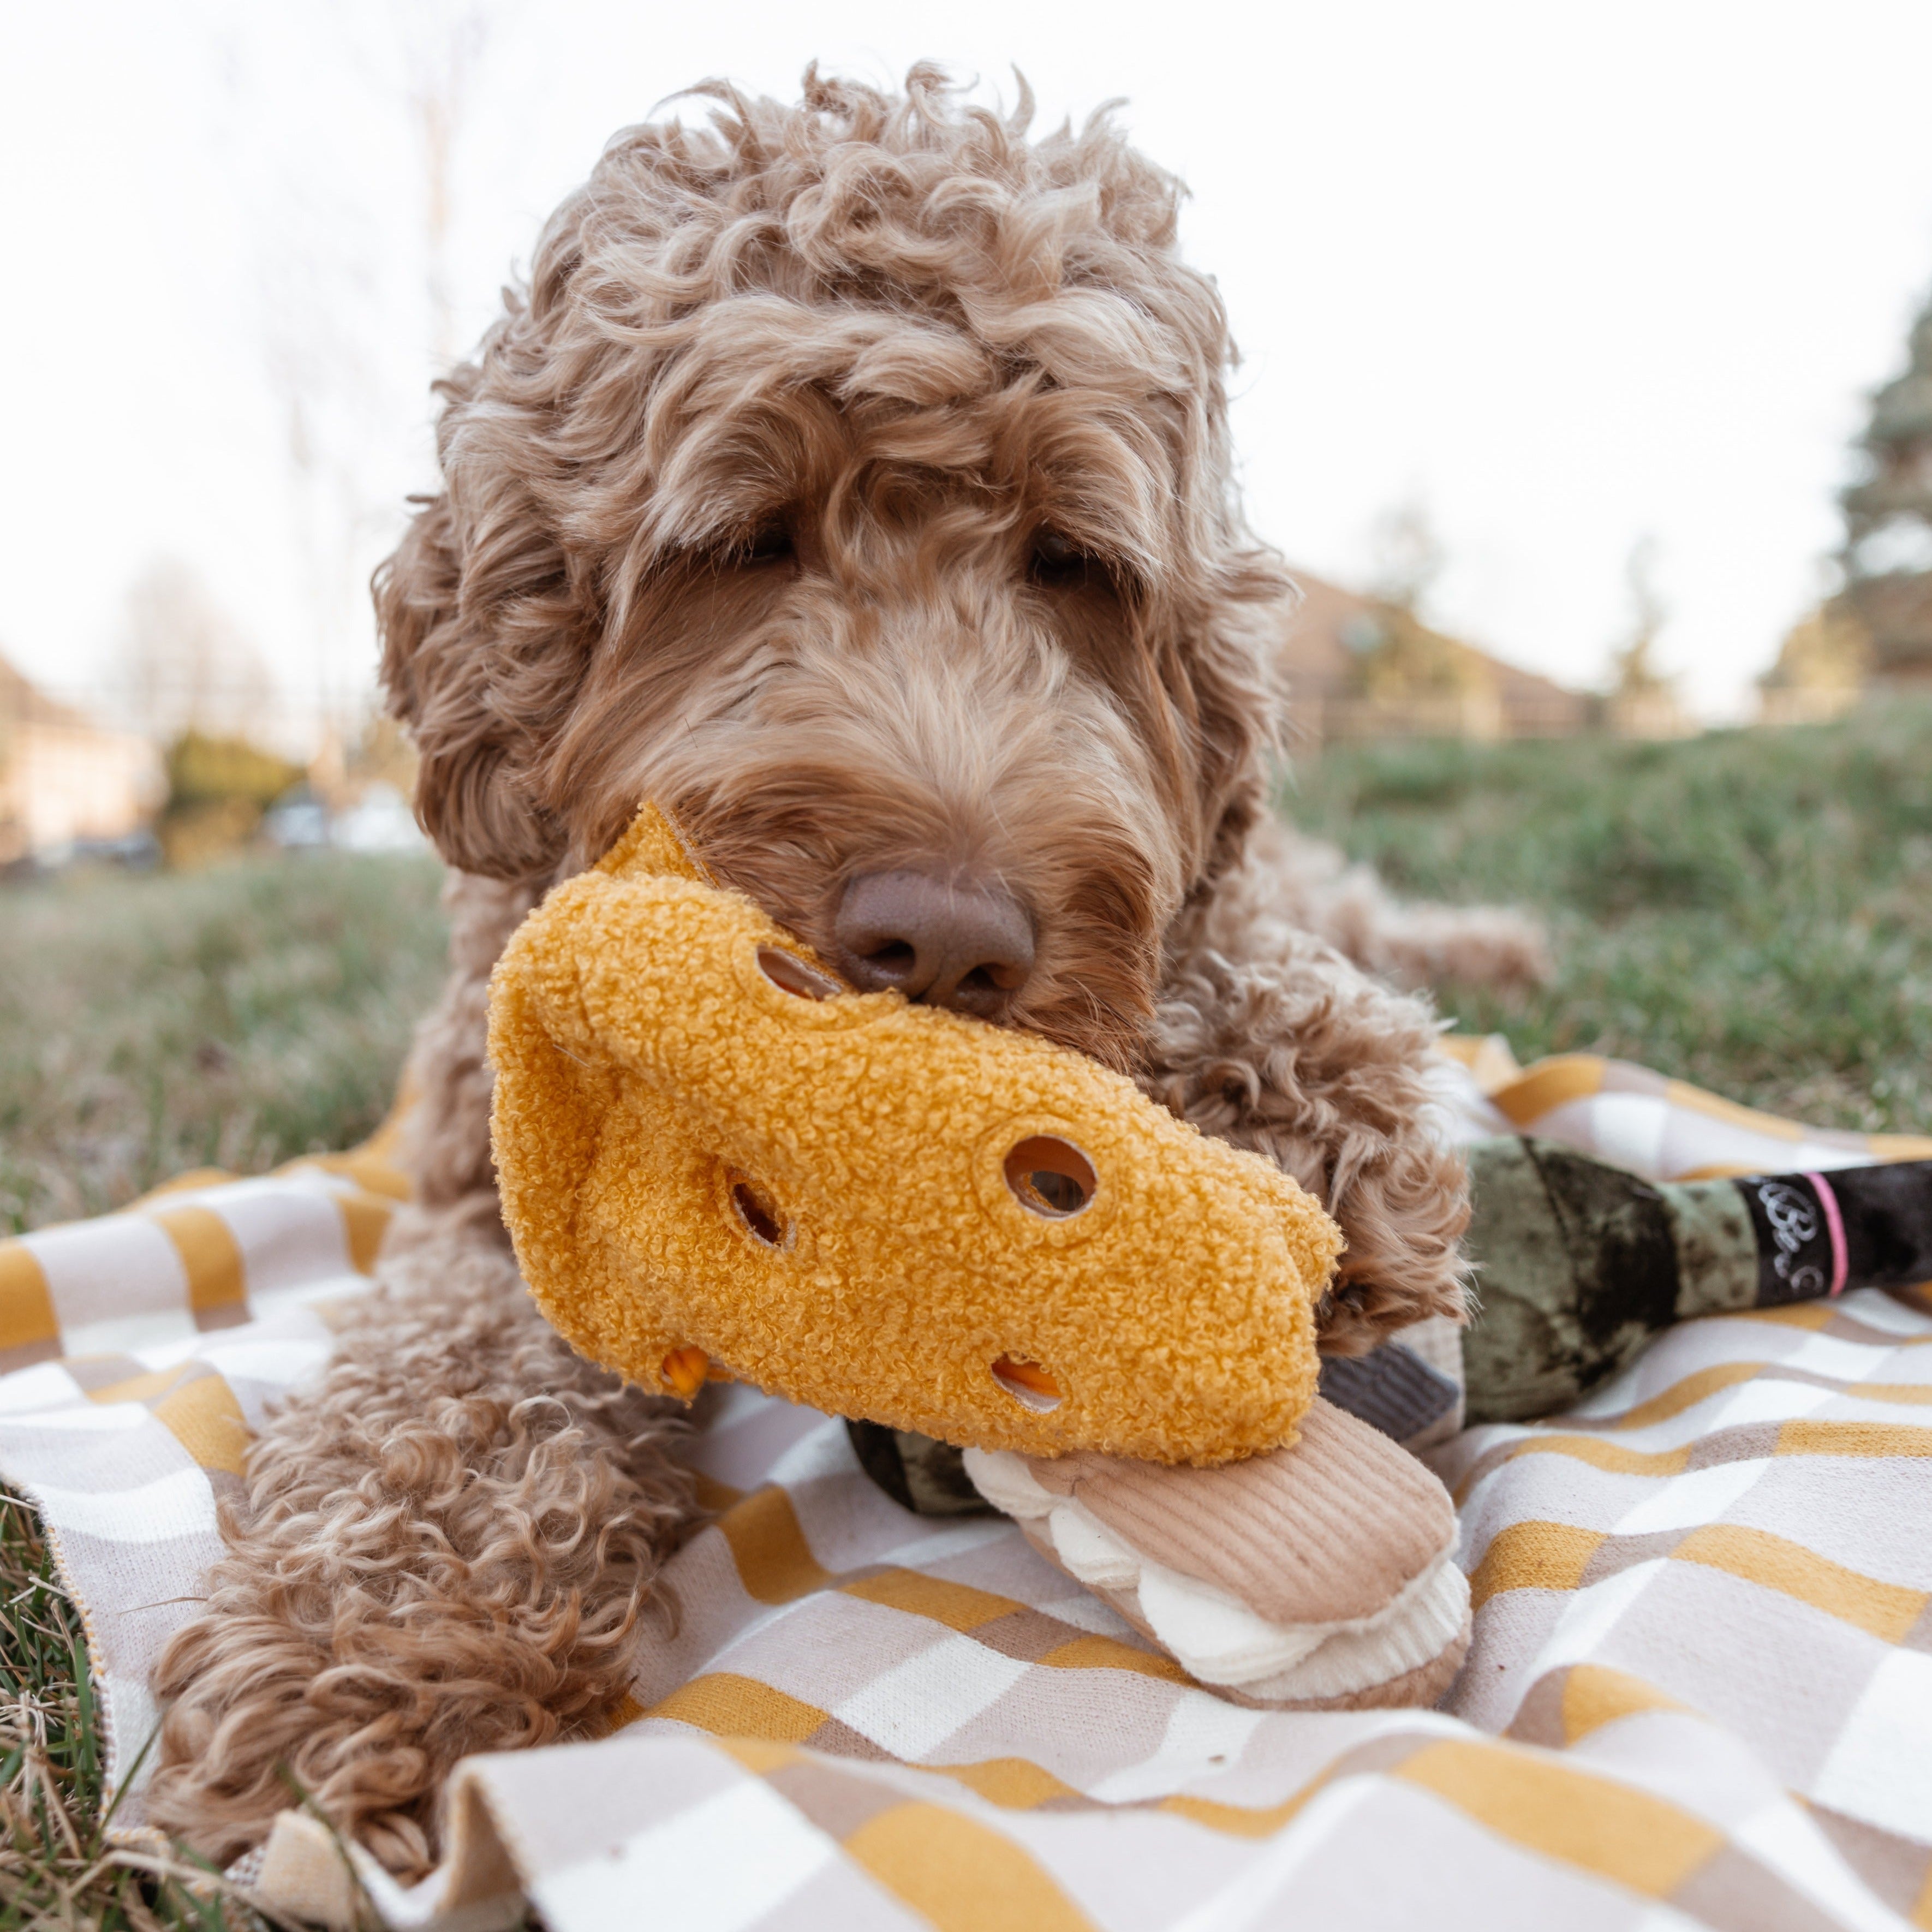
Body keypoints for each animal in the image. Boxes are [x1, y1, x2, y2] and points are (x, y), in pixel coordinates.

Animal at [142, 68, 1546, 1877]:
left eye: (1071, 561)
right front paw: (367, 1647)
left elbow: (1246, 968)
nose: (943, 936)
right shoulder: (475, 1194)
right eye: (745, 539)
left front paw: (1297, 1112)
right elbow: (443, 1385)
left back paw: (1490, 947)